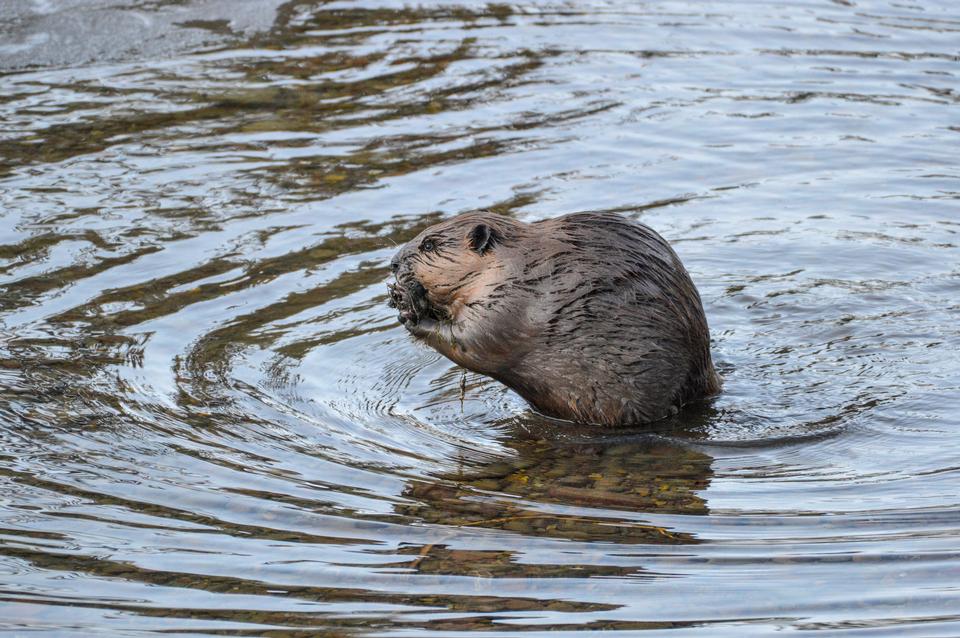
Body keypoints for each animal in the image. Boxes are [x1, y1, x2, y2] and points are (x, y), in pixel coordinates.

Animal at [386, 212, 716, 428]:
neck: (514, 265)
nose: (393, 262)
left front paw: (409, 310)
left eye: (429, 245)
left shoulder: (508, 302)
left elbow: (473, 340)